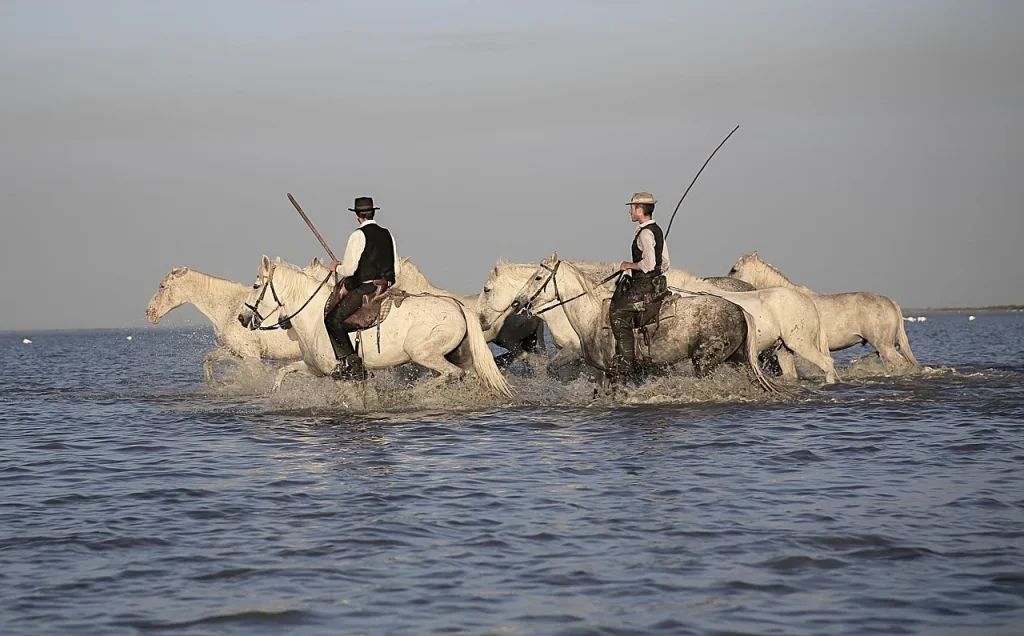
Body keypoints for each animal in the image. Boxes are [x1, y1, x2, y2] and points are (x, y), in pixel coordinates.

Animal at [146, 266, 307, 386]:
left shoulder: (251, 355)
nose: (149, 312)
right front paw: (215, 385)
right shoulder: (233, 350)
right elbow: (208, 359)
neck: (232, 309)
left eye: (162, 286)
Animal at [238, 256, 513, 398]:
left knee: (452, 374)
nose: (242, 317)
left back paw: (411, 394)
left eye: (255, 286)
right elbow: (283, 371)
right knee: (470, 375)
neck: (315, 317)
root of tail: (458, 306)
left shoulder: (344, 377)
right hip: (461, 355)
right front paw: (275, 394)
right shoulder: (316, 369)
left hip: (424, 354)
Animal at [479, 253, 783, 393]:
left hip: (706, 361)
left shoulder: (591, 361)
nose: (518, 303)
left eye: (487, 289)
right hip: (736, 359)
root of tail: (741, 309)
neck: (590, 311)